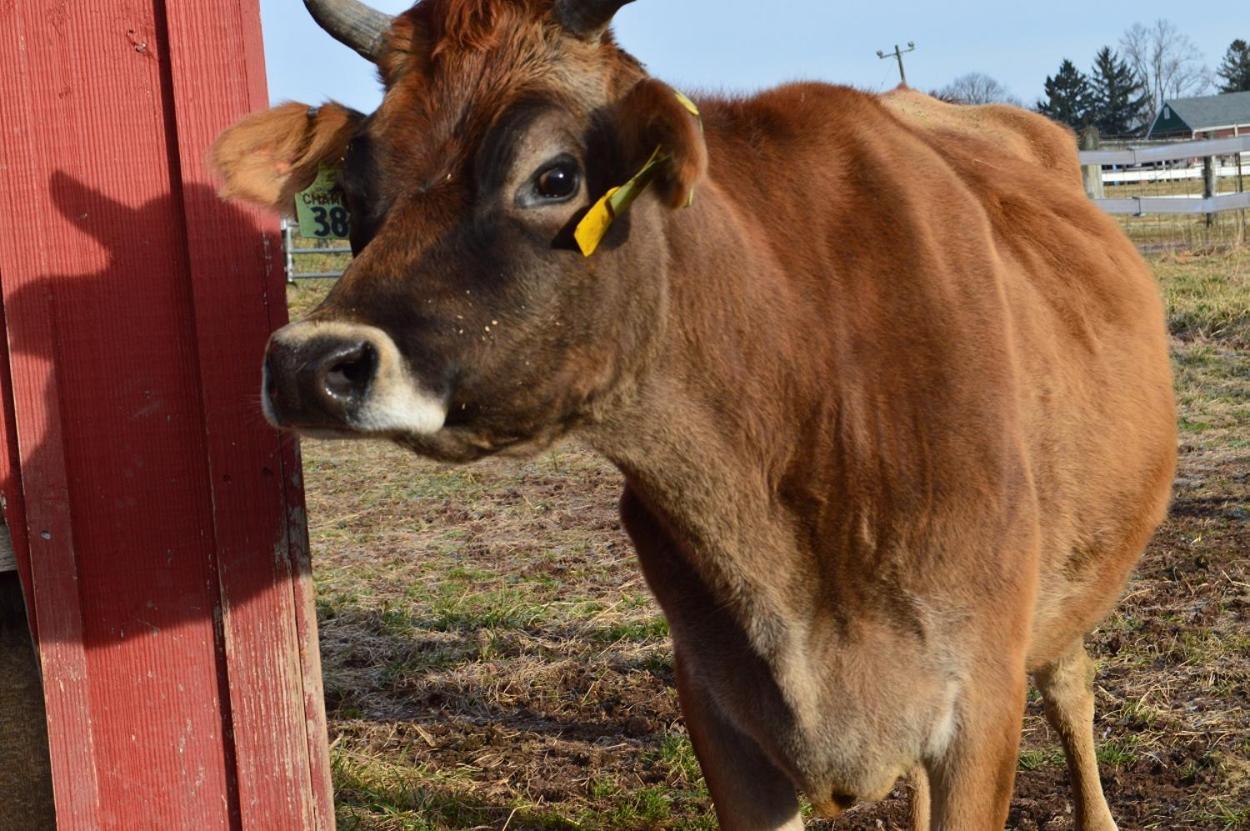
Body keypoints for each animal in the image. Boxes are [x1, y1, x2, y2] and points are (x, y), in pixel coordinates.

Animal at [210, 3, 1175, 824]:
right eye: (354, 188)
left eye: (554, 175)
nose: (307, 363)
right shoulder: (718, 708)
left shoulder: (980, 703)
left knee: (1072, 682)